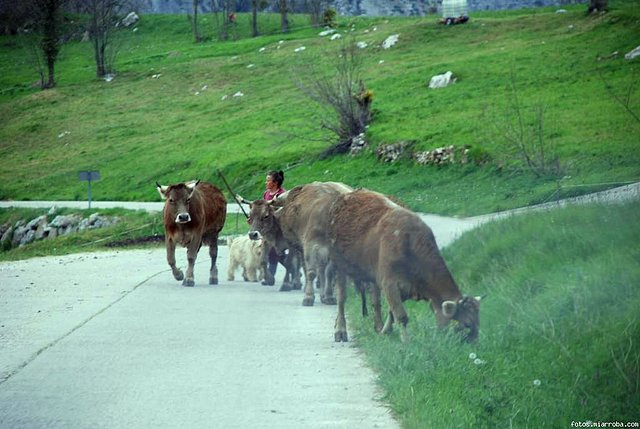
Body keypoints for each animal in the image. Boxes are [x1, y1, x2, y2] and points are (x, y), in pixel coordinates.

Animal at [328, 189, 482, 342]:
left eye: (478, 322)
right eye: (467, 324)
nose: (474, 343)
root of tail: (350, 194)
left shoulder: (403, 287)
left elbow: (392, 313)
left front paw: (385, 332)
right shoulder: (390, 284)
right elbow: (401, 316)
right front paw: (406, 342)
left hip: (371, 275)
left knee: (375, 301)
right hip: (339, 266)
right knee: (341, 299)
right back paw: (340, 330)